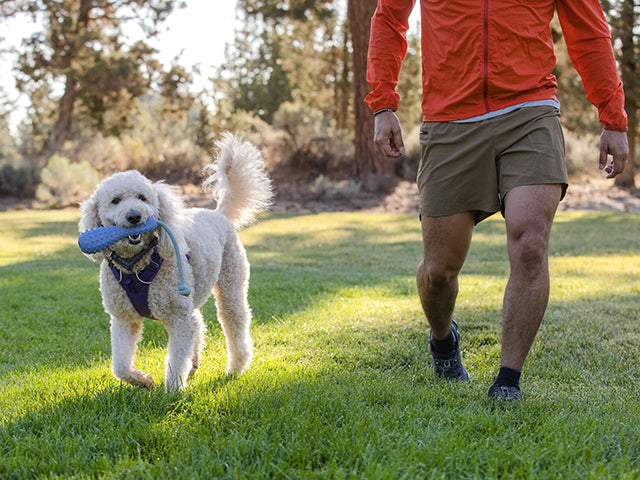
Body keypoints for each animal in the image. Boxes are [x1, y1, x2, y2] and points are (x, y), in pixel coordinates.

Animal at [79, 133, 272, 392]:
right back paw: (195, 363)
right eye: (115, 200)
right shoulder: (123, 319)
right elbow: (120, 366)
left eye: (142, 198)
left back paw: (236, 368)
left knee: (235, 325)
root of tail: (217, 213)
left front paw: (172, 393)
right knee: (198, 323)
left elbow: (176, 360)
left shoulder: (179, 319)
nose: (134, 216)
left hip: (231, 285)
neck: (136, 266)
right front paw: (143, 381)